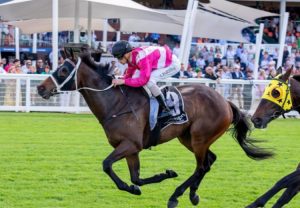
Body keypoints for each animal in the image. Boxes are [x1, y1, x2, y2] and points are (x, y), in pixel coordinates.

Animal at [36, 45, 274, 208]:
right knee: (209, 161)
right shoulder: (131, 149)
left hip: (199, 137)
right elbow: (136, 177)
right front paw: (147, 182)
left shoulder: (130, 145)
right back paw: (192, 194)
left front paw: (140, 185)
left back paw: (176, 196)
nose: (40, 88)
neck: (116, 103)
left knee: (202, 166)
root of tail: (225, 101)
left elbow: (106, 164)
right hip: (188, 137)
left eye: (63, 70)